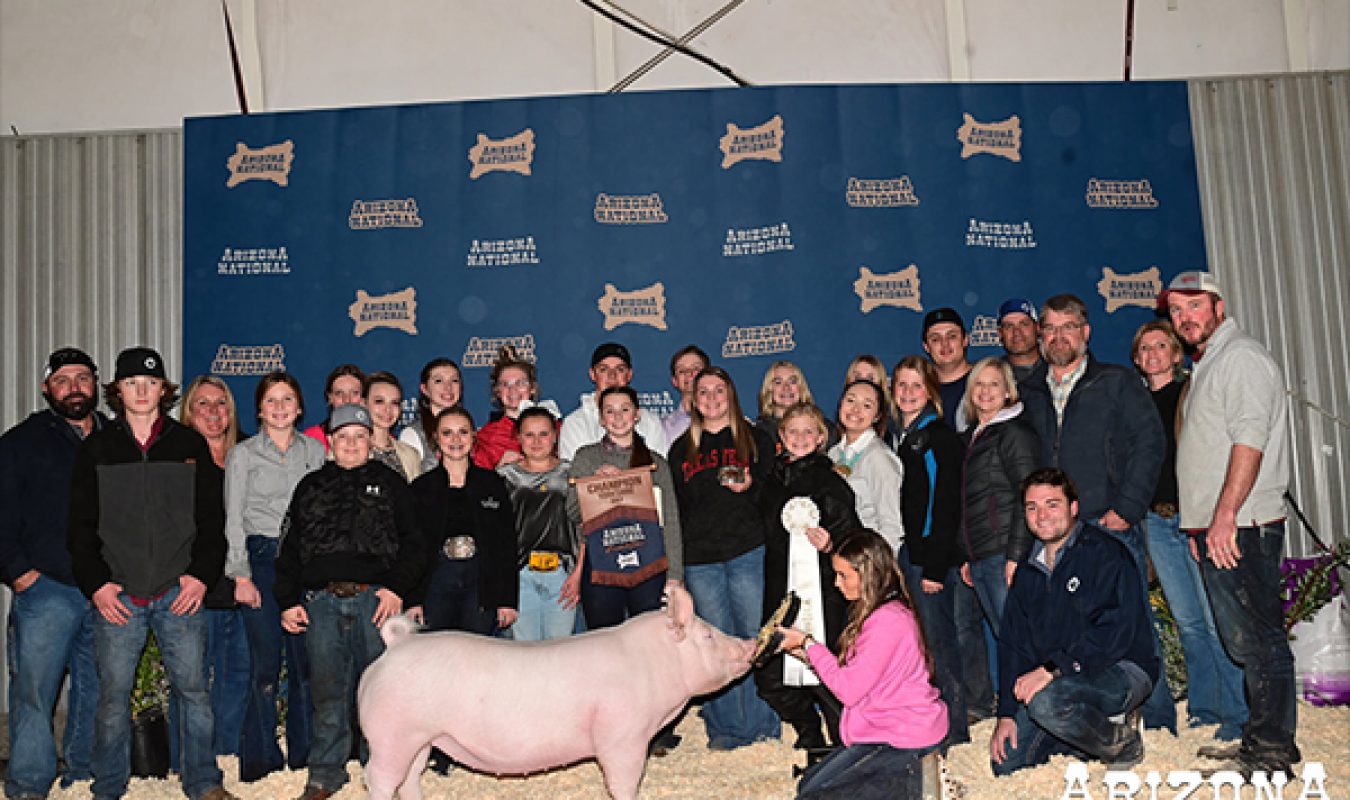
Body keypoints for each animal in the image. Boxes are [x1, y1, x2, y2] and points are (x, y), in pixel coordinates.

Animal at [356, 580, 761, 798]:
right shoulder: (622, 734)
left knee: (409, 778)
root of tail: (397, 646)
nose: (750, 643)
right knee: (378, 778)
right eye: (708, 635)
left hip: (419, 738)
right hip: (391, 735)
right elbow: (624, 780)